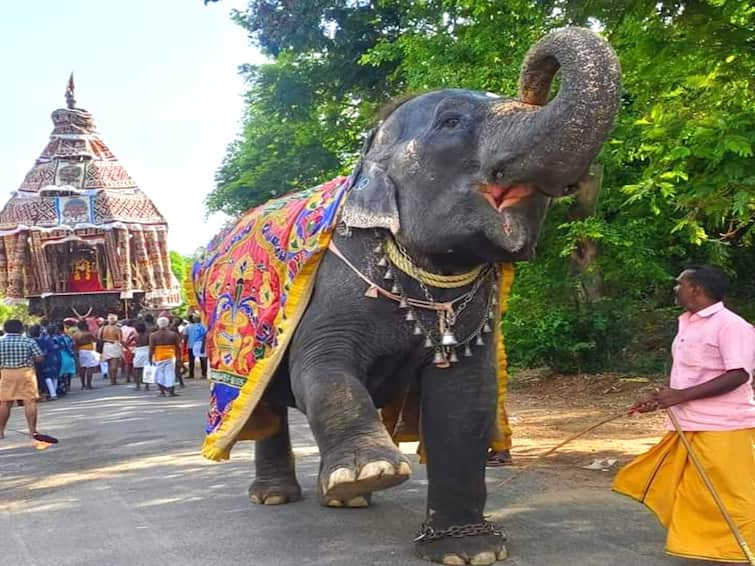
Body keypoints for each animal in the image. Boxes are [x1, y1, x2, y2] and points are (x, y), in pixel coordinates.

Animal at [198, 26, 624, 566]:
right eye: (451, 121)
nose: (534, 77)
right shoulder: (332, 287)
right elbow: (322, 366)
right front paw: (371, 472)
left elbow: (465, 403)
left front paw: (470, 550)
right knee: (267, 407)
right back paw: (279, 496)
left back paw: (346, 502)